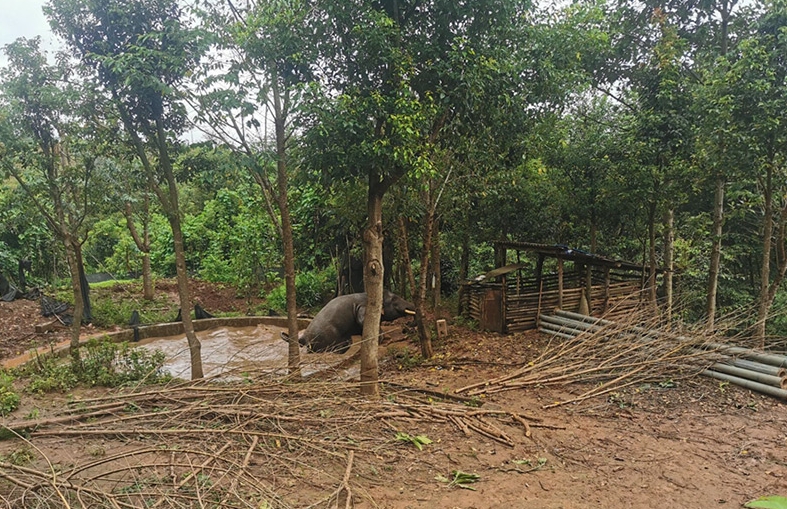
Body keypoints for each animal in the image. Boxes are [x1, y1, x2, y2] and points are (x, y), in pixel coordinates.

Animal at [284, 290, 418, 354]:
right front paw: (381, 340)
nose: (407, 326)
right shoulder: (363, 308)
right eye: (394, 299)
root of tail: (303, 337)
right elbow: (362, 321)